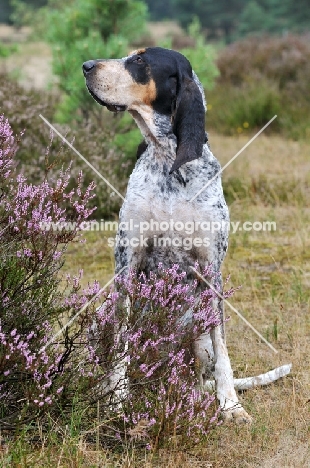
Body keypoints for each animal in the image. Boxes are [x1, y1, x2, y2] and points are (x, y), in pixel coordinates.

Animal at [81, 47, 252, 424]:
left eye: (140, 61)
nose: (86, 65)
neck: (168, 163)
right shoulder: (127, 260)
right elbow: (123, 342)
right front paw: (116, 399)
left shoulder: (212, 267)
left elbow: (223, 347)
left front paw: (231, 404)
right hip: (96, 325)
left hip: (196, 337)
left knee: (198, 373)